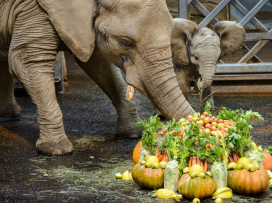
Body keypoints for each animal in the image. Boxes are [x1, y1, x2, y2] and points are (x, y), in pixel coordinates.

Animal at [0, 0, 196, 155]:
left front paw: (133, 133)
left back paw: (11, 114)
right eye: (126, 42)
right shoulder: (33, 9)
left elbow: (99, 64)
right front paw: (56, 150)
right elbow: (27, 62)